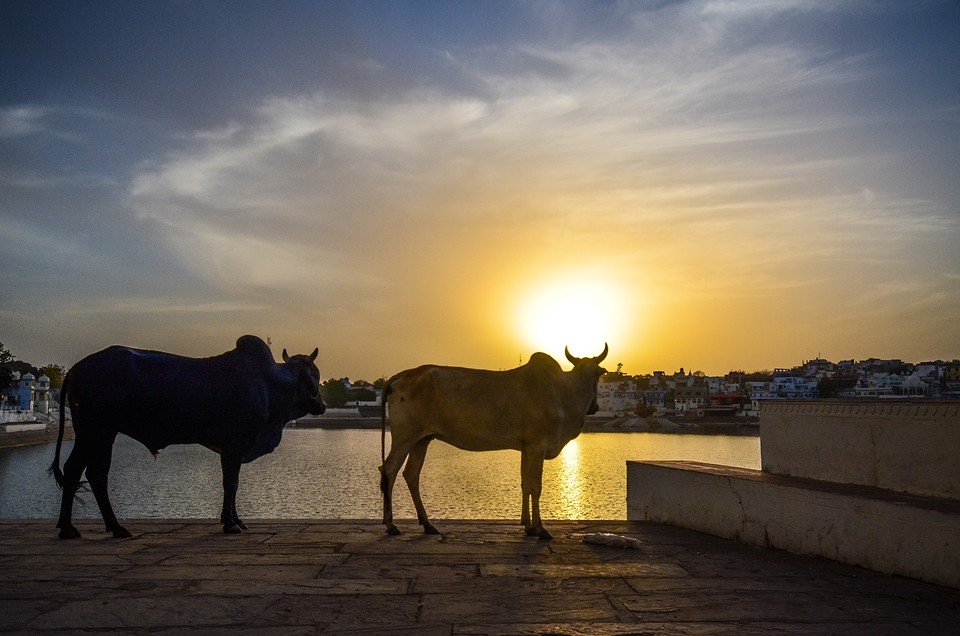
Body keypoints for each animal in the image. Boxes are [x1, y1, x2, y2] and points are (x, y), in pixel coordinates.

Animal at [50, 335, 325, 539]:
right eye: (315, 375)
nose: (322, 406)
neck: (270, 383)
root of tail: (75, 368)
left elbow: (234, 485)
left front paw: (236, 520)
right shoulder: (234, 445)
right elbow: (231, 484)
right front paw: (230, 523)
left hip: (87, 434)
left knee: (73, 470)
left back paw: (69, 528)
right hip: (100, 432)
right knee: (96, 474)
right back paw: (114, 528)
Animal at [379, 344, 608, 540]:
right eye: (598, 376)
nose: (595, 407)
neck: (564, 393)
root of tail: (400, 376)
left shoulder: (526, 448)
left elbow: (525, 484)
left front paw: (528, 526)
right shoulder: (537, 446)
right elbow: (535, 486)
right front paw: (540, 528)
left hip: (422, 439)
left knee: (411, 474)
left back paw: (427, 525)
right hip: (405, 436)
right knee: (389, 469)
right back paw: (391, 525)